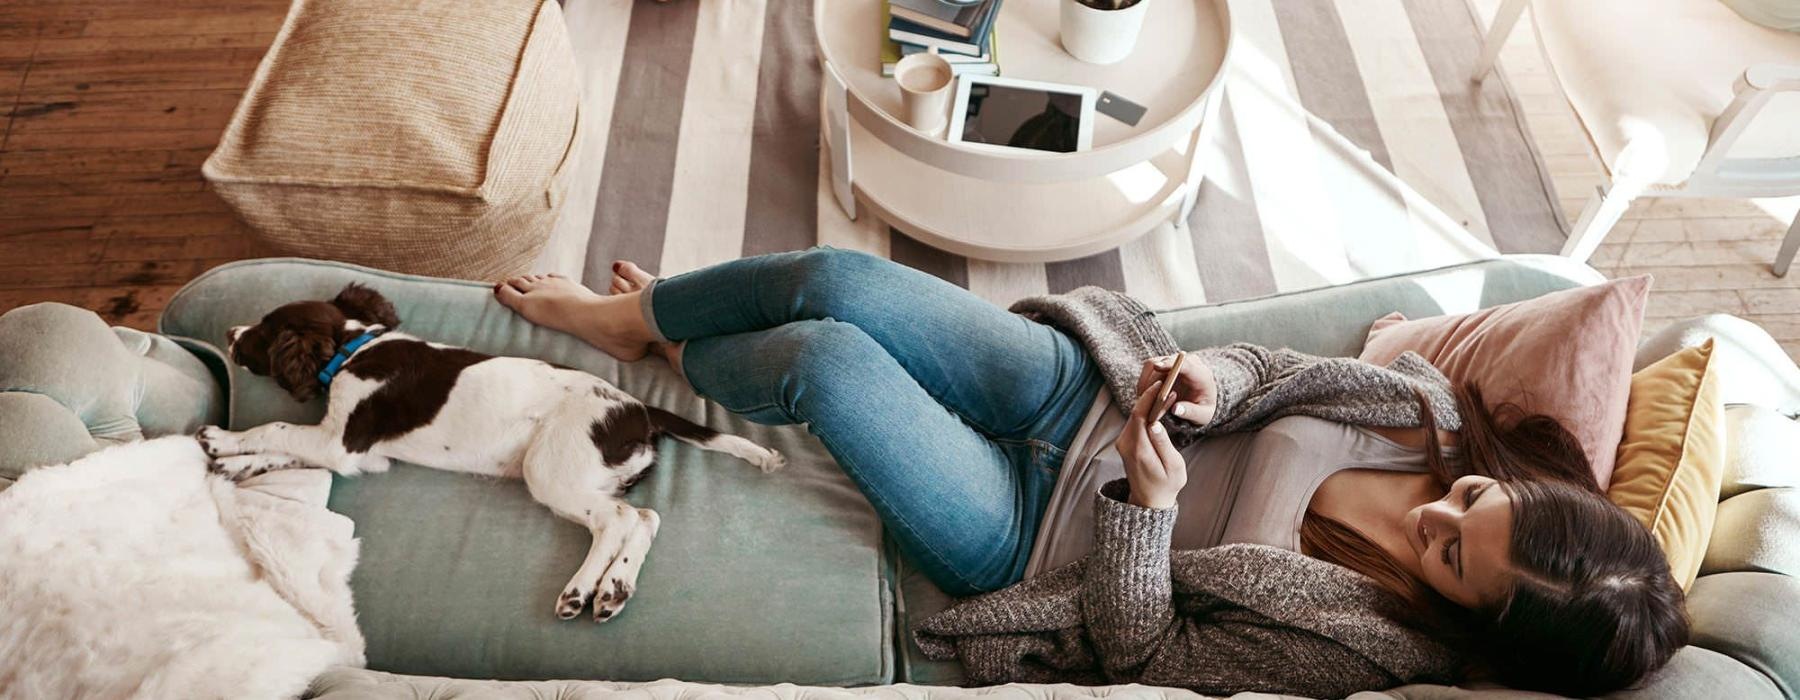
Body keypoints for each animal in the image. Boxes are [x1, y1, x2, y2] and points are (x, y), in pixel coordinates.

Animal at [200, 280, 784, 619]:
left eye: (261, 334)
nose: (228, 331)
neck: (354, 347)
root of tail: (638, 408)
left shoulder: (343, 442)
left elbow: (278, 427)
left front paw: (225, 440)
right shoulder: (359, 453)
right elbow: (285, 449)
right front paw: (235, 462)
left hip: (551, 469)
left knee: (617, 520)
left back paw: (582, 591)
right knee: (643, 517)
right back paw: (613, 588)